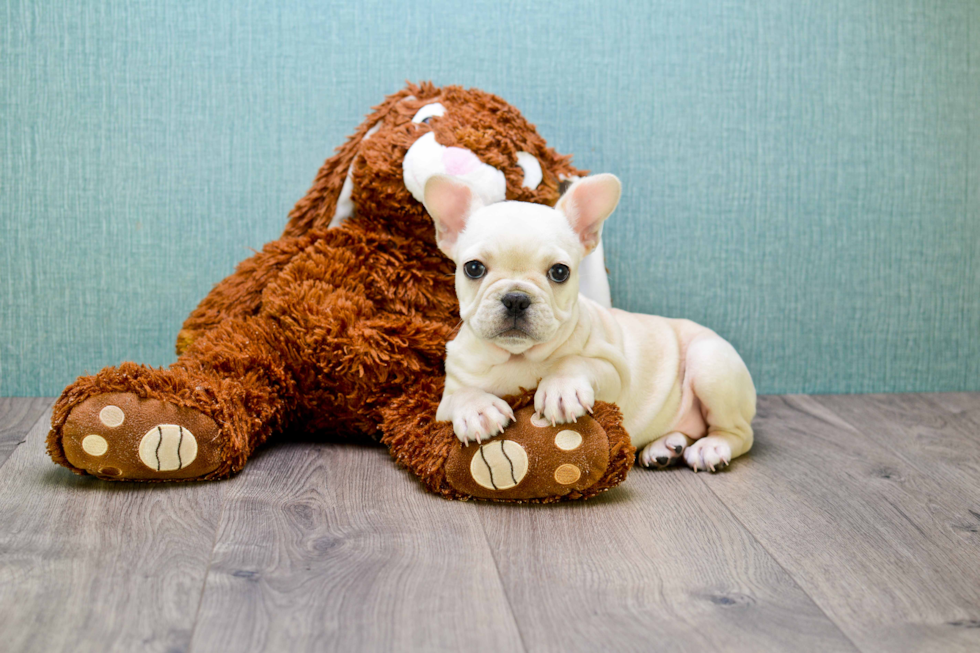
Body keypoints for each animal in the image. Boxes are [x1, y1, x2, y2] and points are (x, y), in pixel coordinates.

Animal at [424, 172, 756, 468]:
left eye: (560, 272)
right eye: (473, 268)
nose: (516, 298)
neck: (517, 357)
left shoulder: (615, 370)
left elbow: (576, 361)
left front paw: (561, 388)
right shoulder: (445, 400)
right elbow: (460, 395)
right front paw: (476, 409)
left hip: (710, 364)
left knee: (739, 433)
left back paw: (711, 447)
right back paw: (665, 447)